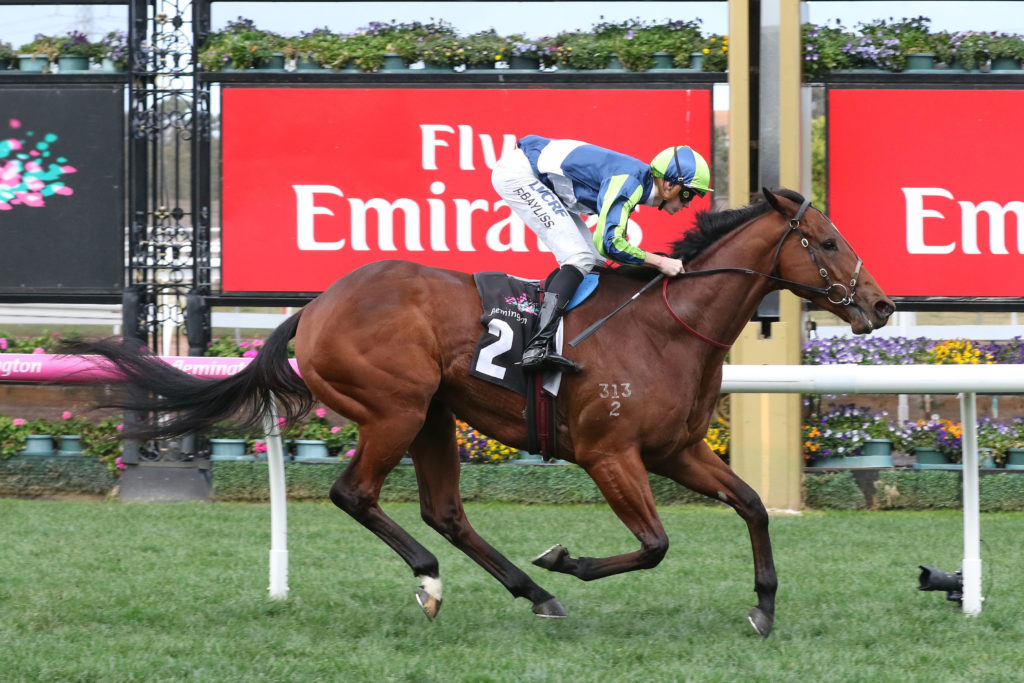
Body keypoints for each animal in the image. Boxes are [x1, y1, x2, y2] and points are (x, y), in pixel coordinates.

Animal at [63, 188, 894, 637]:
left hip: (433, 414)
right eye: (826, 241)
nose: (881, 305)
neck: (669, 324)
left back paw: (532, 593)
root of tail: (316, 306)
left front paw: (763, 608)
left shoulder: (677, 450)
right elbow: (655, 544)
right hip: (394, 408)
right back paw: (442, 581)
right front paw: (567, 558)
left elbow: (752, 504)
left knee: (445, 510)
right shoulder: (610, 454)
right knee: (355, 493)